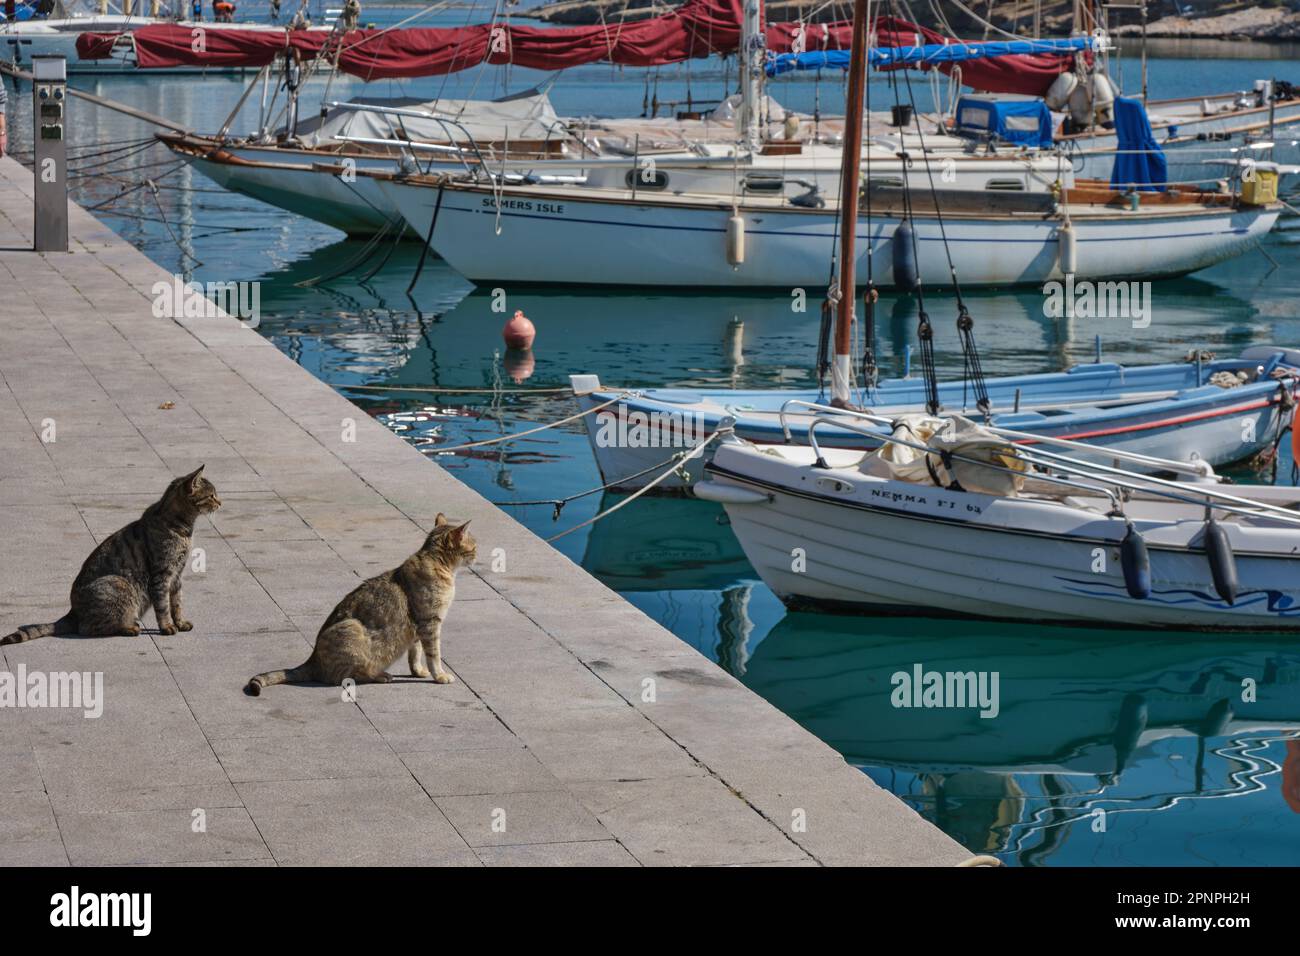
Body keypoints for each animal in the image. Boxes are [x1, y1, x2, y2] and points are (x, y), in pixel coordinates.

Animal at [2, 468, 222, 647]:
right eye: (212, 495)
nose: (221, 502)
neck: (183, 528)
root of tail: (72, 611)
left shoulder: (177, 575)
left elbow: (177, 603)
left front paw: (181, 622)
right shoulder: (162, 574)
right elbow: (163, 606)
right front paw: (167, 626)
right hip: (119, 583)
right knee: (86, 629)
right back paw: (129, 628)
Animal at [243, 515, 473, 697]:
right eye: (474, 545)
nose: (477, 554)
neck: (439, 565)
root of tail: (312, 660)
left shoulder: (418, 628)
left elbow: (415, 653)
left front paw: (418, 671)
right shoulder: (430, 623)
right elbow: (434, 655)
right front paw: (439, 675)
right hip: (352, 628)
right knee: (343, 676)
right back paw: (380, 675)